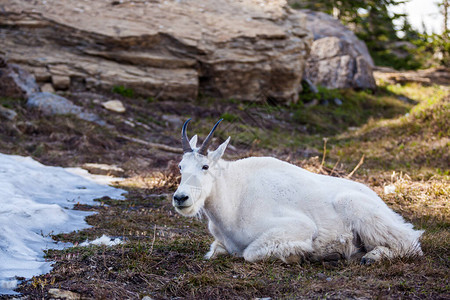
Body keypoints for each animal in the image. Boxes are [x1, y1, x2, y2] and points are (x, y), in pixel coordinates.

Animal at [172, 118, 422, 264]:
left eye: (205, 167)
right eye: (181, 166)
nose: (180, 198)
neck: (232, 200)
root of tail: (383, 204)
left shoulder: (298, 227)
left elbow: (250, 254)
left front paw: (302, 254)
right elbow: (215, 251)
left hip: (357, 207)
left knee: (410, 243)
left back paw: (371, 256)